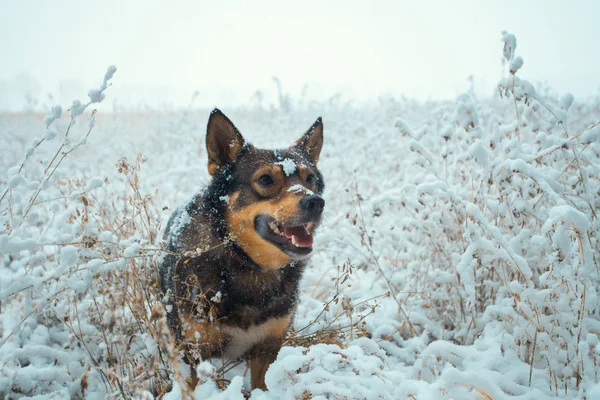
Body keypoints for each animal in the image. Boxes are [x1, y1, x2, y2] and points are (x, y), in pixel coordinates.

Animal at [159, 109, 326, 390]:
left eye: (310, 178)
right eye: (266, 179)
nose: (316, 202)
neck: (247, 263)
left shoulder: (268, 346)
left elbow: (261, 385)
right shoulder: (195, 351)